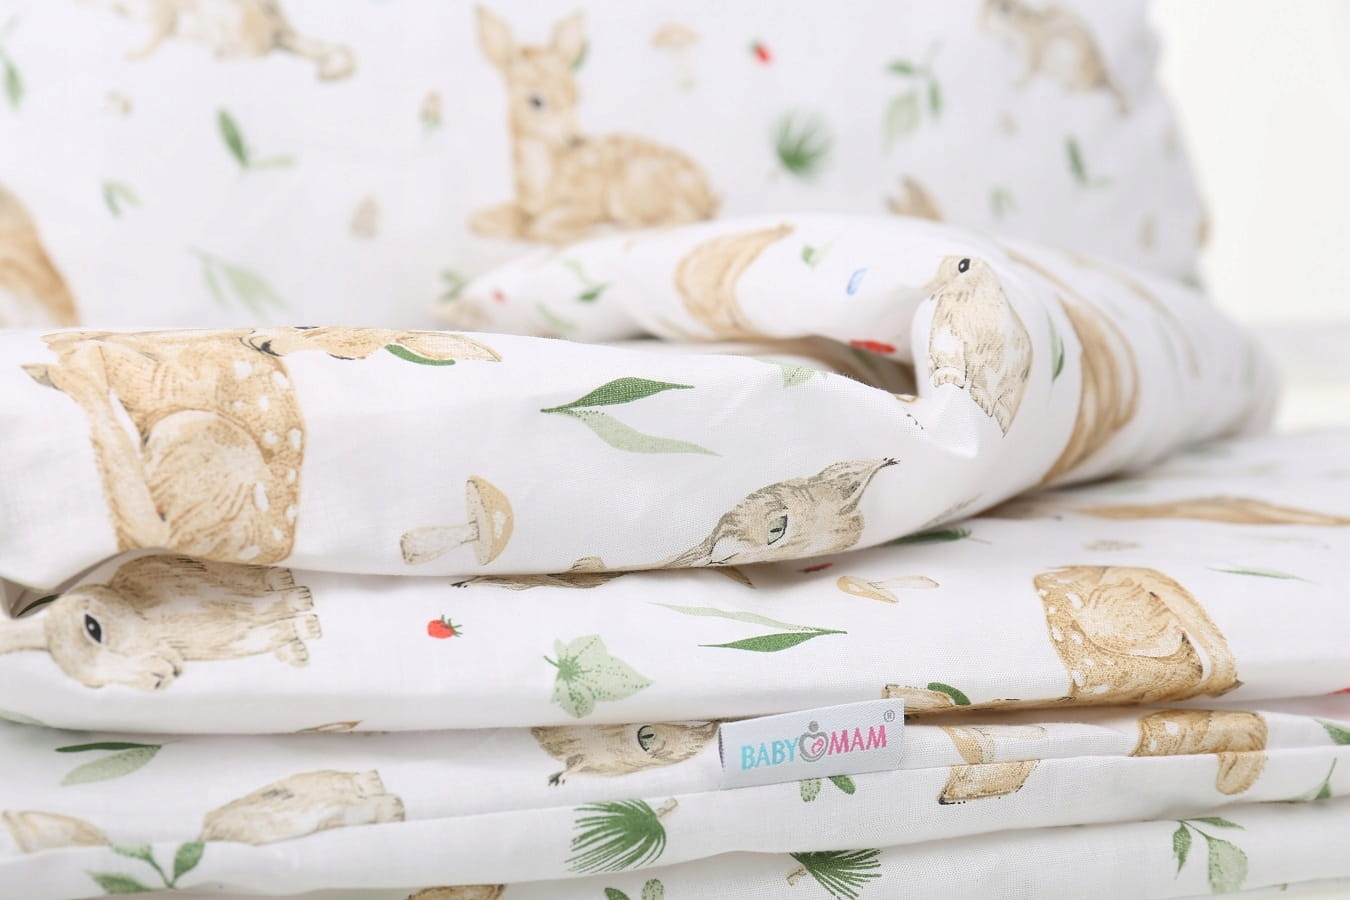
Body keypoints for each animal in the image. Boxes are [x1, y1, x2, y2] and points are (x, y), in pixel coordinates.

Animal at [0, 554, 317, 691]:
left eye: (93, 627)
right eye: (94, 682)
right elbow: (272, 630)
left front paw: (302, 606)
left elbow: (264, 604)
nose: (160, 678)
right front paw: (303, 631)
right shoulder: (234, 642)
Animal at [21, 328, 499, 565]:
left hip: (202, 443)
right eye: (312, 328)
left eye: (345, 358)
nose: (266, 344)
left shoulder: (173, 385)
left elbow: (112, 362)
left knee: (148, 527)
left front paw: (62, 364)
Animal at [471, 7, 718, 243]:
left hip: (628, 186)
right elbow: (480, 219)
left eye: (577, 95)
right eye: (536, 101)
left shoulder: (584, 201)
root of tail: (708, 193)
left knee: (678, 217)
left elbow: (539, 227)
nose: (575, 139)